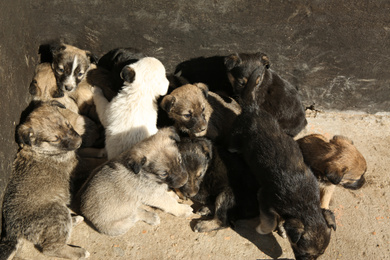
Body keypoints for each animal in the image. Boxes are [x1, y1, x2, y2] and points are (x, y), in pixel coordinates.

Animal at [0, 101, 89, 260]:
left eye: (68, 124)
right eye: (55, 139)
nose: (79, 142)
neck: (42, 150)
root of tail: (12, 231)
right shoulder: (76, 164)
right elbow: (92, 162)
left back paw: (75, 220)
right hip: (57, 212)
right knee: (50, 249)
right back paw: (79, 252)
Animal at [230, 69, 336, 260]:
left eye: (320, 254)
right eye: (303, 252)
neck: (305, 206)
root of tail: (253, 109)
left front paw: (284, 229)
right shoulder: (264, 198)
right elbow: (270, 221)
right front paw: (263, 230)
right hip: (236, 134)